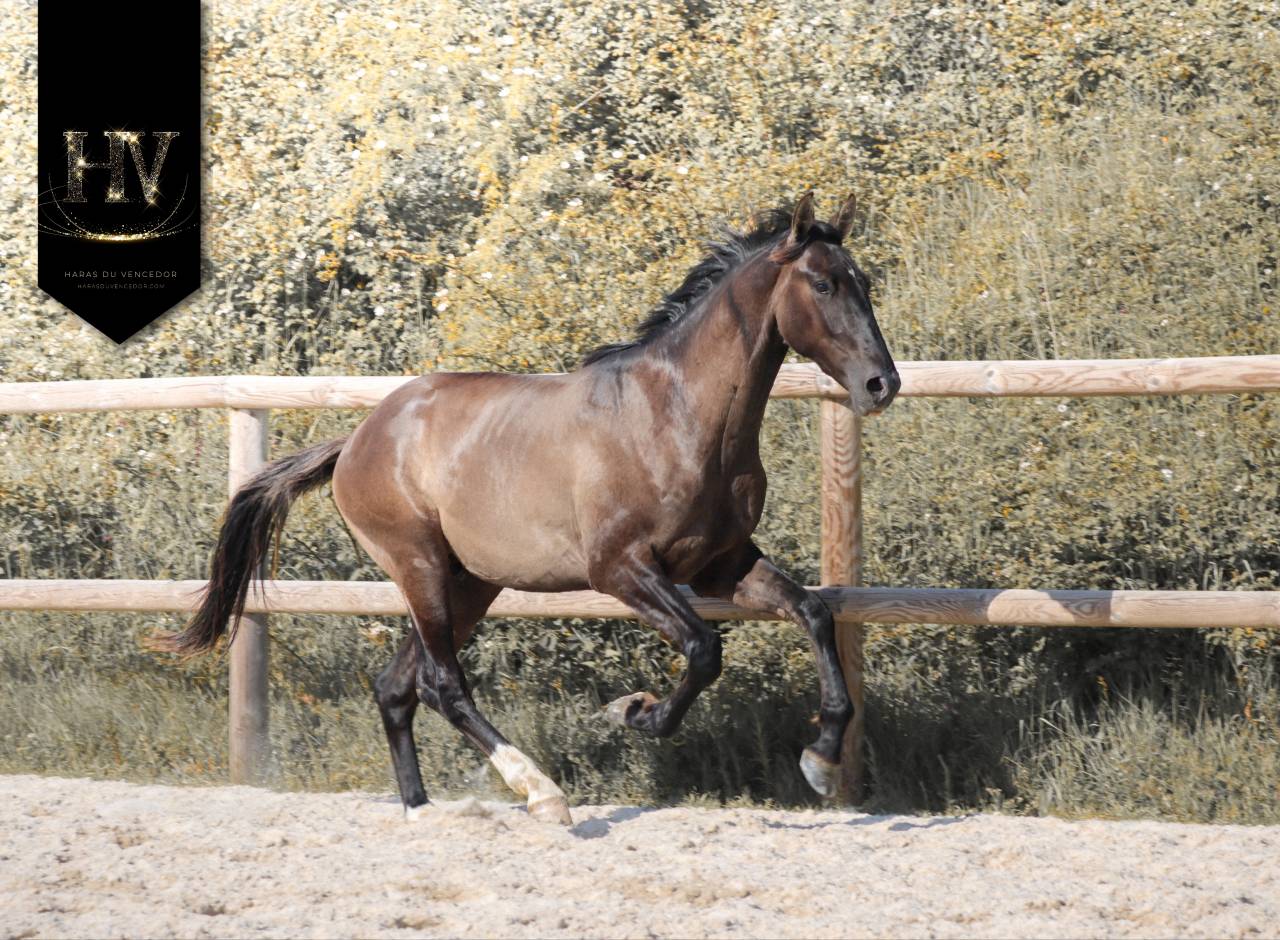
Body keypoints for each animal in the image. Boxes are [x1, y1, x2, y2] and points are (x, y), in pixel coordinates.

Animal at [163, 193, 899, 825]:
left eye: (862, 281)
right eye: (823, 285)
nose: (880, 384)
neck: (679, 416)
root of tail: (358, 439)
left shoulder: (721, 564)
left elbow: (813, 612)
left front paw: (821, 761)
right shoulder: (620, 568)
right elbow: (703, 648)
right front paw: (636, 712)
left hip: (469, 583)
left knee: (397, 686)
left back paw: (421, 809)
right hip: (419, 567)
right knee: (442, 685)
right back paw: (542, 794)